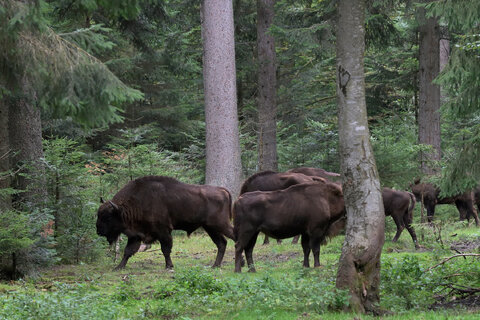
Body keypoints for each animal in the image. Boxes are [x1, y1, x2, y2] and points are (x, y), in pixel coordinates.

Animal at [95, 175, 234, 270]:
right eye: (99, 215)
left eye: (108, 217)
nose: (99, 231)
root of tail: (222, 190)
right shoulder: (136, 235)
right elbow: (128, 251)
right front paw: (118, 267)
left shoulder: (163, 231)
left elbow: (165, 249)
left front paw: (169, 266)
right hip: (210, 228)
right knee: (222, 243)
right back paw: (215, 265)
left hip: (221, 224)